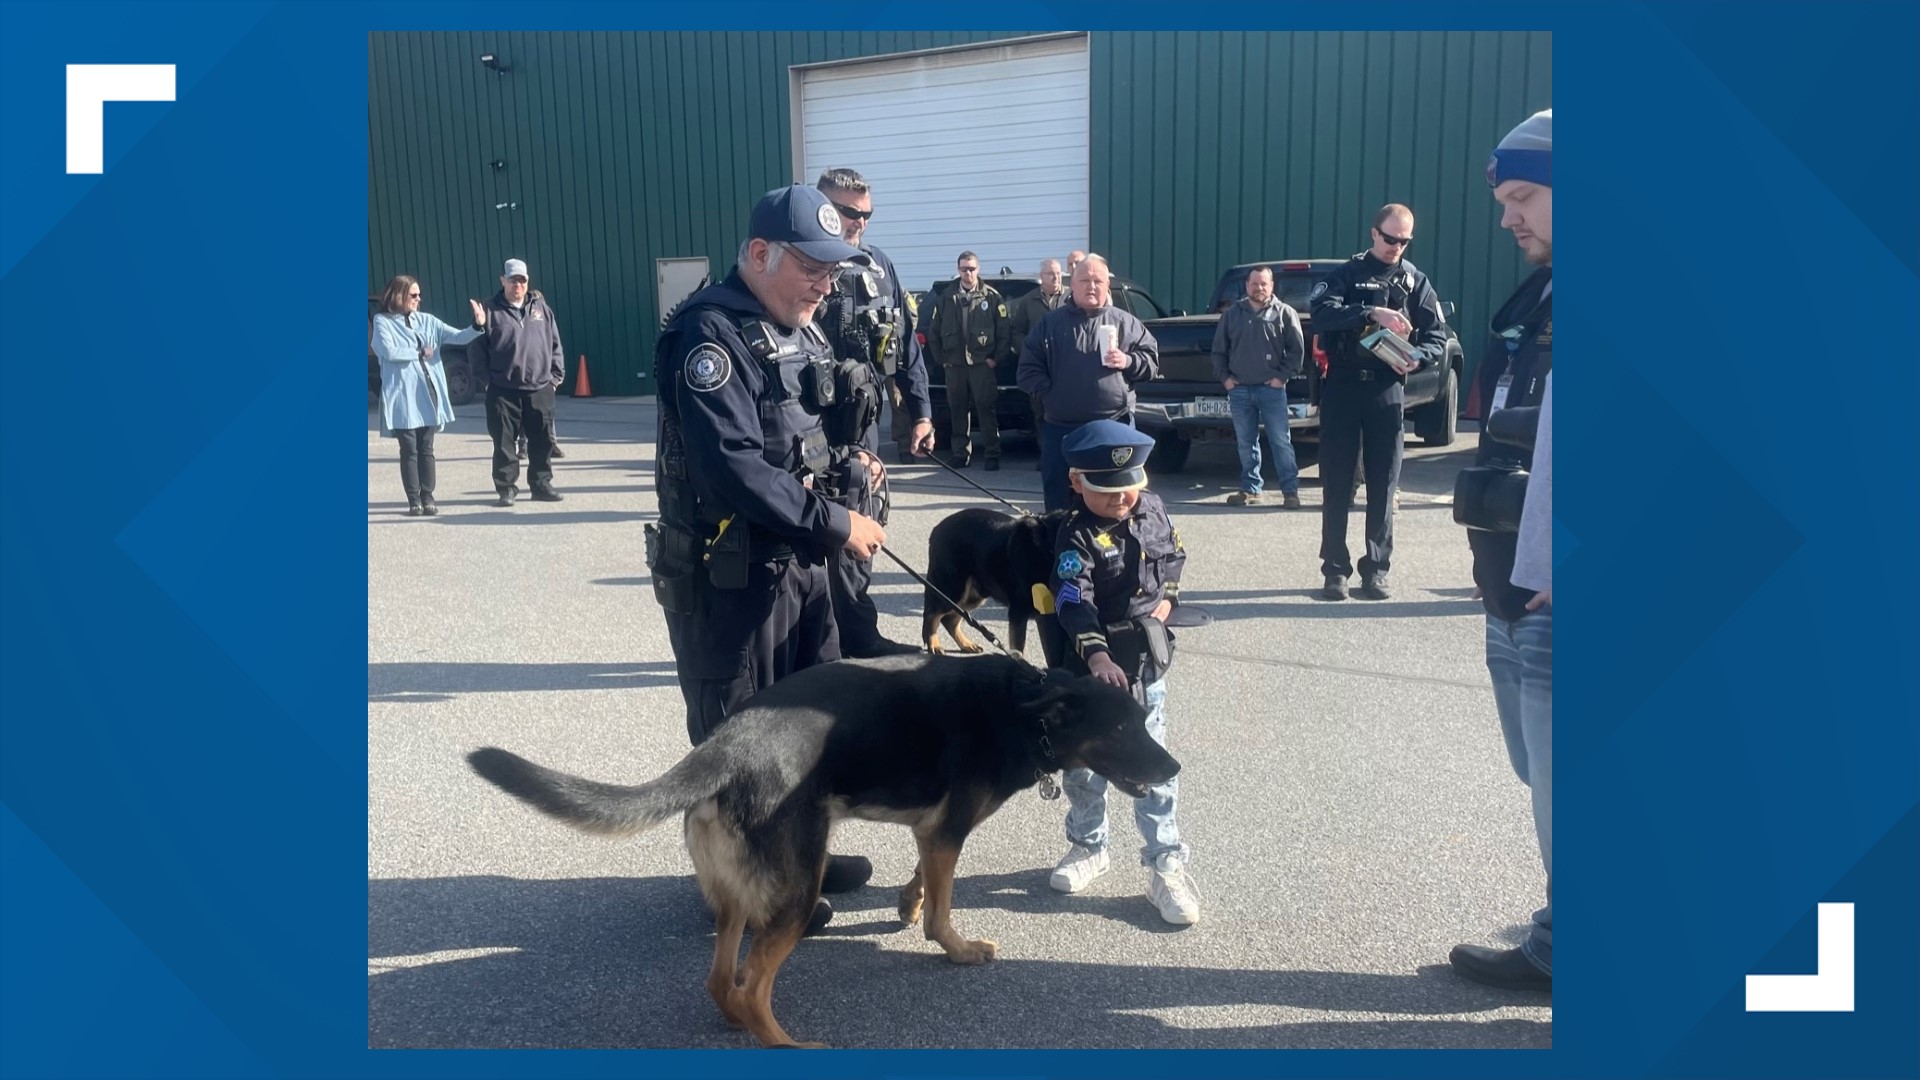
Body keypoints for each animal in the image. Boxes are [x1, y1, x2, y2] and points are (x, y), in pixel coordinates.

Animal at [468, 645, 1182, 1045]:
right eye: (1123, 728)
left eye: (1143, 722)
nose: (1175, 767)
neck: (1027, 707)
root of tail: (723, 746)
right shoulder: (949, 831)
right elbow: (946, 908)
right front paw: (954, 948)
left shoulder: (933, 833)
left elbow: (925, 881)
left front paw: (908, 907)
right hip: (796, 888)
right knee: (752, 986)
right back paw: (788, 1047)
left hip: (739, 895)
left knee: (722, 981)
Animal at [921, 503, 1075, 657]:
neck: (1047, 545)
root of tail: (937, 529)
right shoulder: (1018, 613)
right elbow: (1018, 649)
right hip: (952, 590)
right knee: (931, 614)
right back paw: (934, 643)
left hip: (972, 596)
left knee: (950, 620)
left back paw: (966, 644)